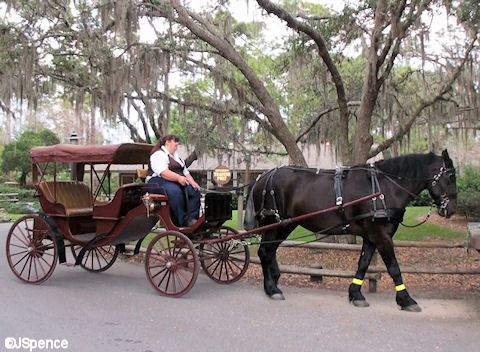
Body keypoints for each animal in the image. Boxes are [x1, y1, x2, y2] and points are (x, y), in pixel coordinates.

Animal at [246, 148, 456, 310]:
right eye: (451, 176)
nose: (452, 209)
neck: (384, 188)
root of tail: (262, 177)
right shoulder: (381, 236)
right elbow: (394, 267)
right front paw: (406, 299)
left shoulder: (371, 236)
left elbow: (363, 264)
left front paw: (356, 294)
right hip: (273, 222)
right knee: (265, 251)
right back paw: (272, 288)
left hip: (286, 223)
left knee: (270, 250)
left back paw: (274, 280)